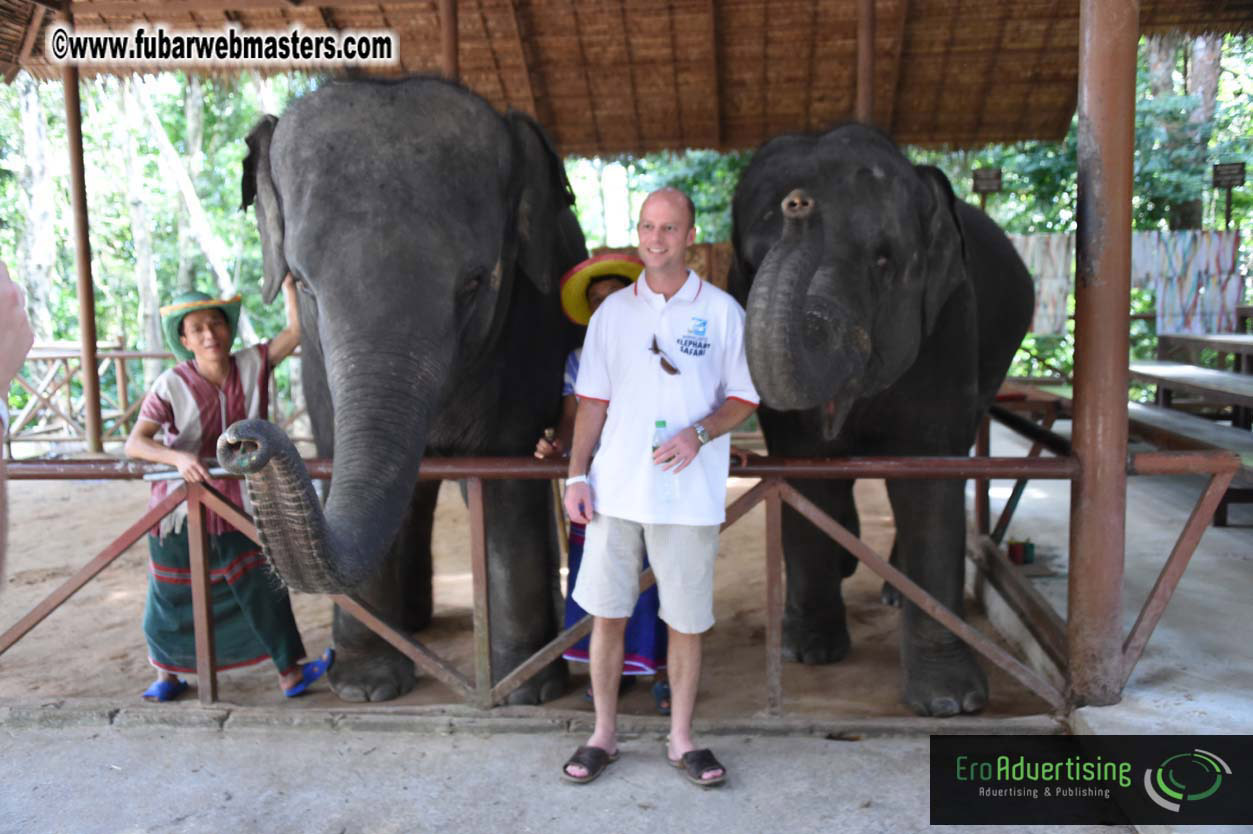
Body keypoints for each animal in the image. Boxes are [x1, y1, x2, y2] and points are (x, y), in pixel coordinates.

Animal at [218, 77, 587, 704]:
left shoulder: (529, 329)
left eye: (475, 283)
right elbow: (339, 456)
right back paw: (413, 625)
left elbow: (506, 475)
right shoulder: (316, 366)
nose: (244, 441)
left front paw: (528, 692)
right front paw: (365, 689)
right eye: (303, 284)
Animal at [728, 123, 1034, 716]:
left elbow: (928, 477)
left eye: (884, 262)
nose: (799, 204)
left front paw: (952, 703)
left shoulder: (948, 320)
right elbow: (802, 470)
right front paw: (811, 654)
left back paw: (895, 589)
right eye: (752, 263)